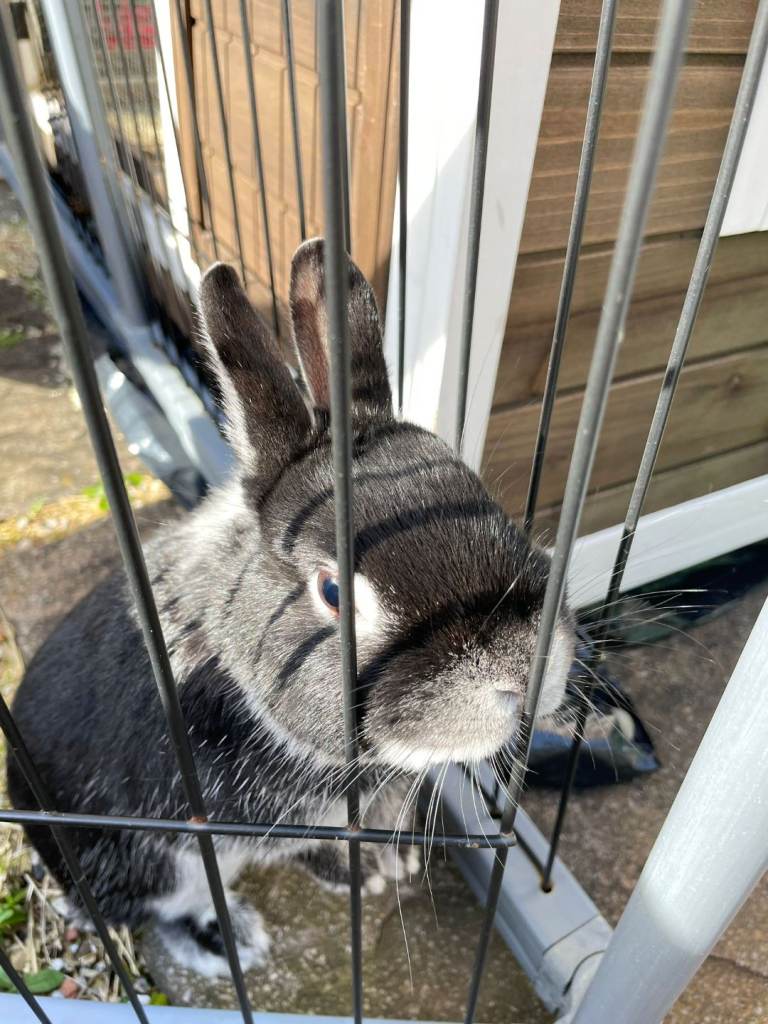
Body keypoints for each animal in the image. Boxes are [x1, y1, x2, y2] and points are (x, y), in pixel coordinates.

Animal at [7, 239, 575, 976]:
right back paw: (228, 943)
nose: (525, 667)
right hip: (153, 865)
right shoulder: (258, 819)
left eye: (483, 496)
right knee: (160, 911)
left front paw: (395, 863)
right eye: (333, 592)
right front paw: (366, 877)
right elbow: (310, 847)